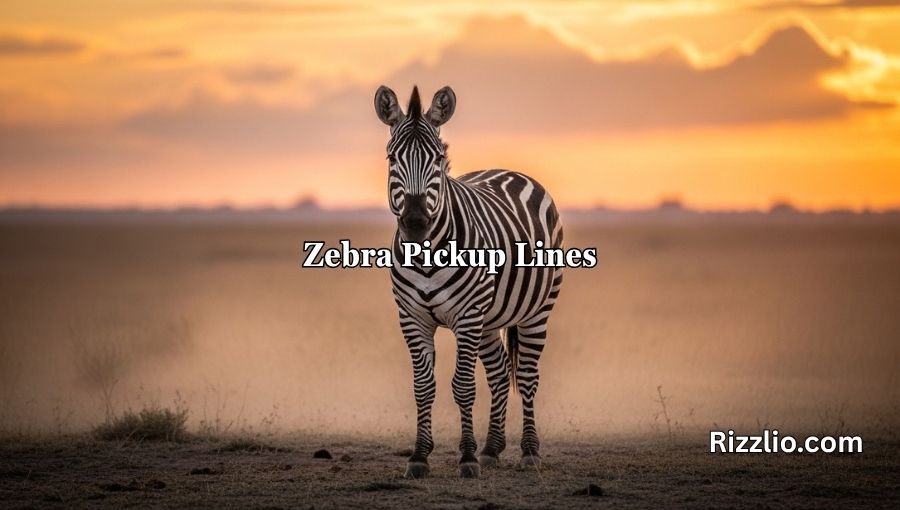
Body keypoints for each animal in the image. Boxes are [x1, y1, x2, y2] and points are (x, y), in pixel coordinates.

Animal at [374, 85, 564, 479]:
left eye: (438, 159)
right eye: (392, 158)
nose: (415, 222)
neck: (426, 255)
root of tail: (509, 171)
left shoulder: (467, 316)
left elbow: (462, 386)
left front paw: (466, 458)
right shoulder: (412, 318)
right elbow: (423, 387)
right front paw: (419, 456)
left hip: (536, 311)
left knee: (526, 375)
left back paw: (529, 451)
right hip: (490, 321)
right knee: (499, 374)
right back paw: (492, 448)